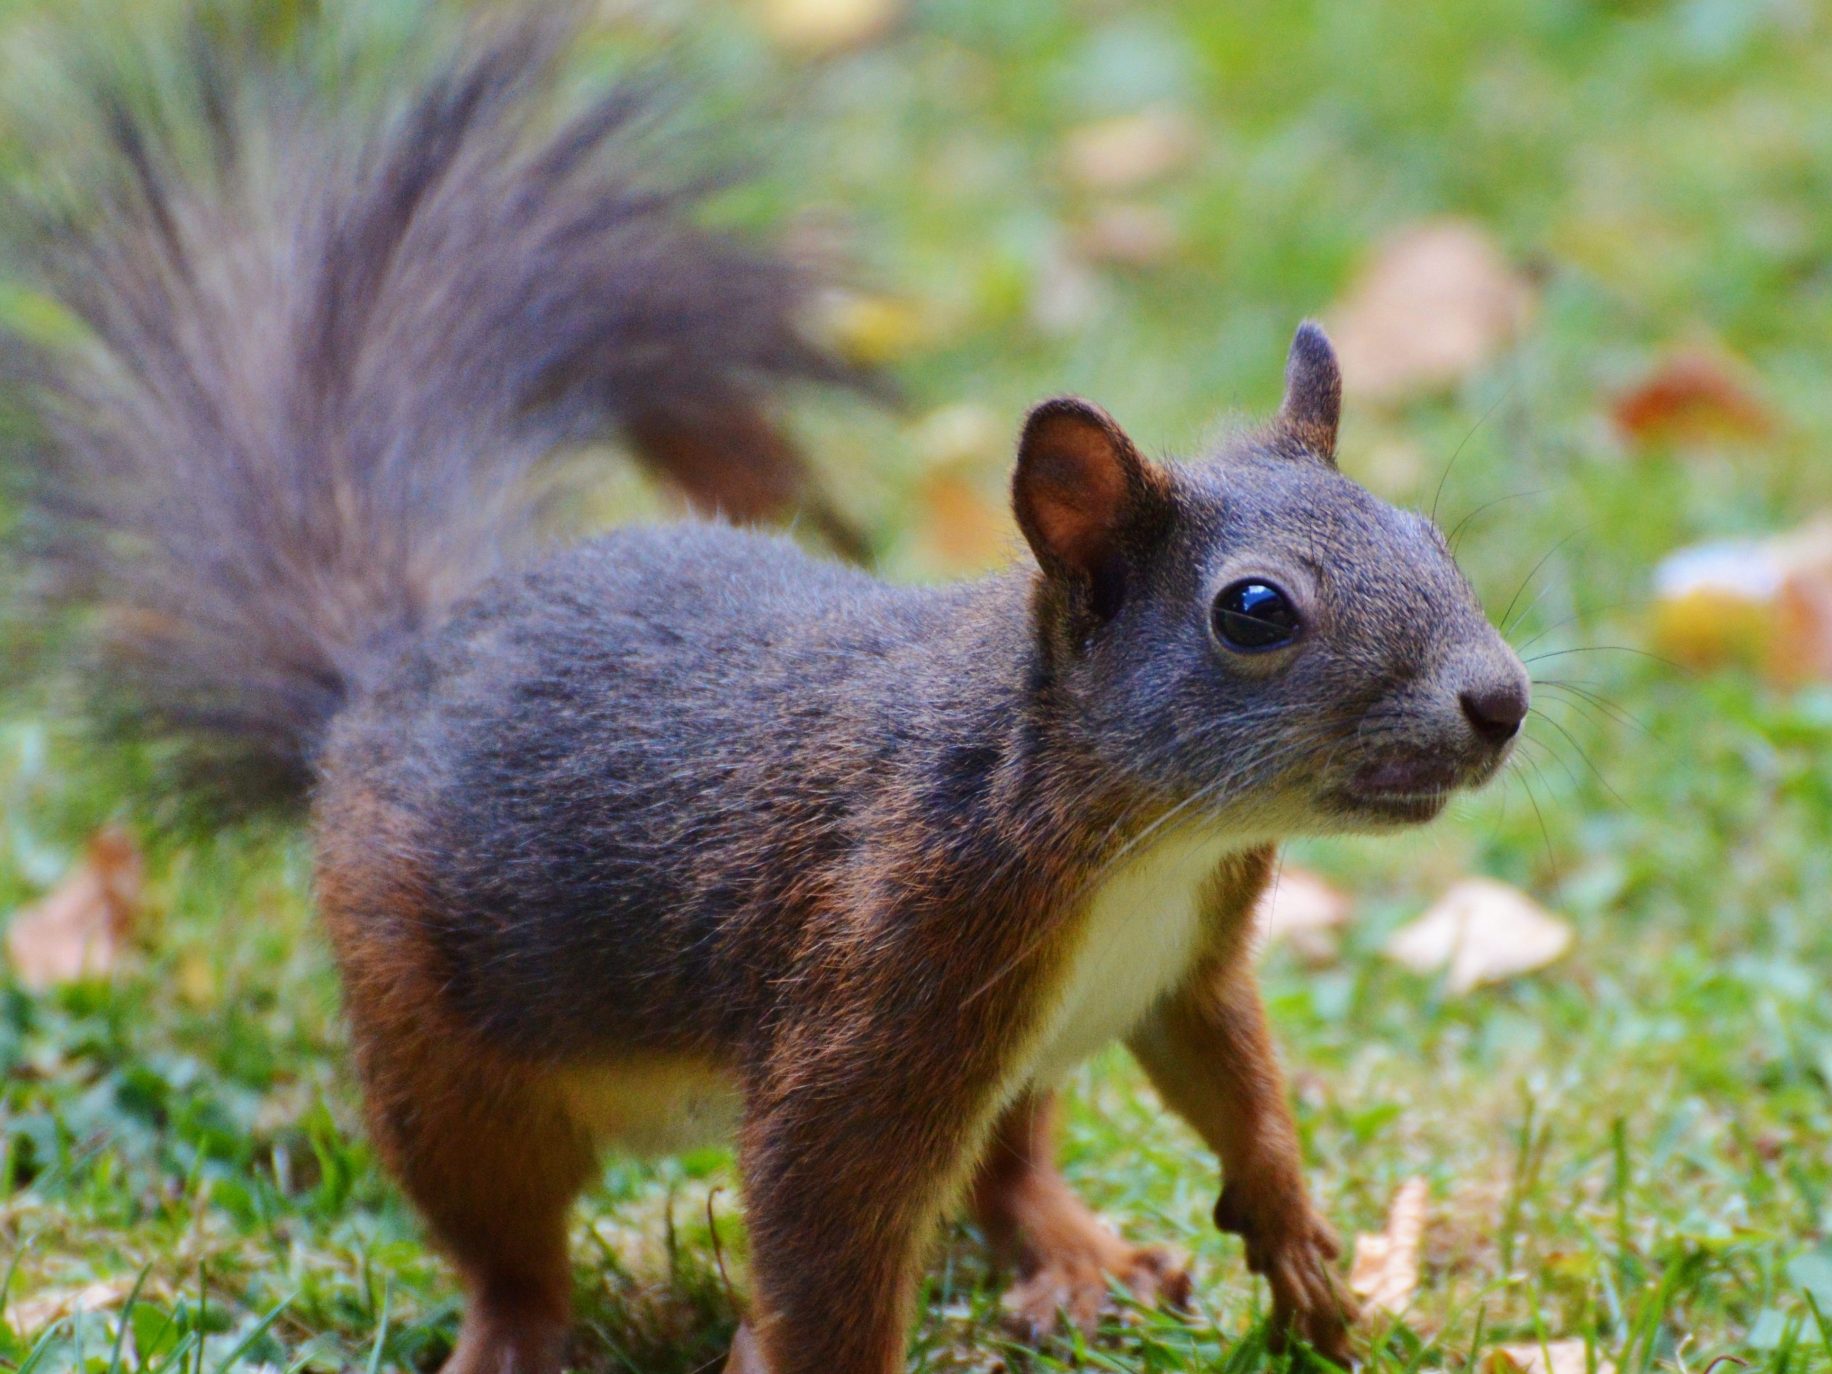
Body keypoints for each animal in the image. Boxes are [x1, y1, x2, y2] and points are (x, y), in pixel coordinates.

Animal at [10, 10, 1531, 1374]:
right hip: (439, 1046)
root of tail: (383, 674)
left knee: (1005, 1171)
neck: (1142, 842)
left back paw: (1075, 1256)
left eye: (1431, 534)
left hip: (1023, 1065)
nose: (1500, 700)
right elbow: (828, 1231)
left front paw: (1304, 1256)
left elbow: (1240, 1090)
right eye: (1254, 613)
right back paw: (514, 1338)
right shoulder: (882, 966)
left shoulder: (1187, 968)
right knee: (502, 1234)